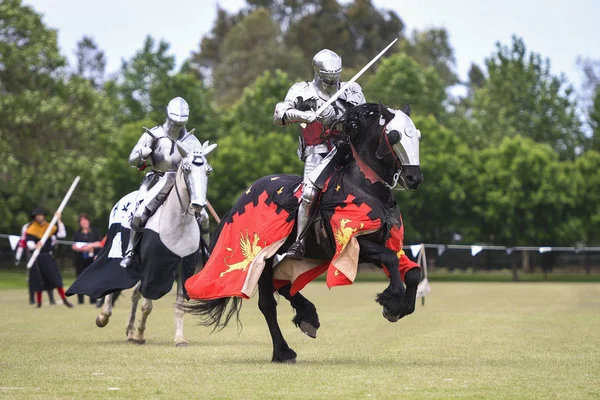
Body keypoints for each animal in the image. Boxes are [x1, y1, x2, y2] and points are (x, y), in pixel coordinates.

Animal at [91, 141, 216, 346]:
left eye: (208, 171)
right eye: (187, 169)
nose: (198, 205)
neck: (177, 224)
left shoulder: (182, 269)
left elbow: (178, 305)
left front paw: (179, 338)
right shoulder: (153, 268)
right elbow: (147, 305)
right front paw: (141, 334)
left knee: (134, 294)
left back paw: (130, 331)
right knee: (111, 281)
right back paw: (104, 317)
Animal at [185, 102, 424, 362]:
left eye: (417, 135)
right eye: (395, 136)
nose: (414, 178)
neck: (364, 187)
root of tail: (243, 196)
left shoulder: (389, 244)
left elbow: (413, 272)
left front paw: (400, 306)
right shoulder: (354, 246)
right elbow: (390, 260)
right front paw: (391, 302)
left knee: (285, 287)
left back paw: (307, 316)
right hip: (262, 259)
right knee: (267, 303)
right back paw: (283, 350)